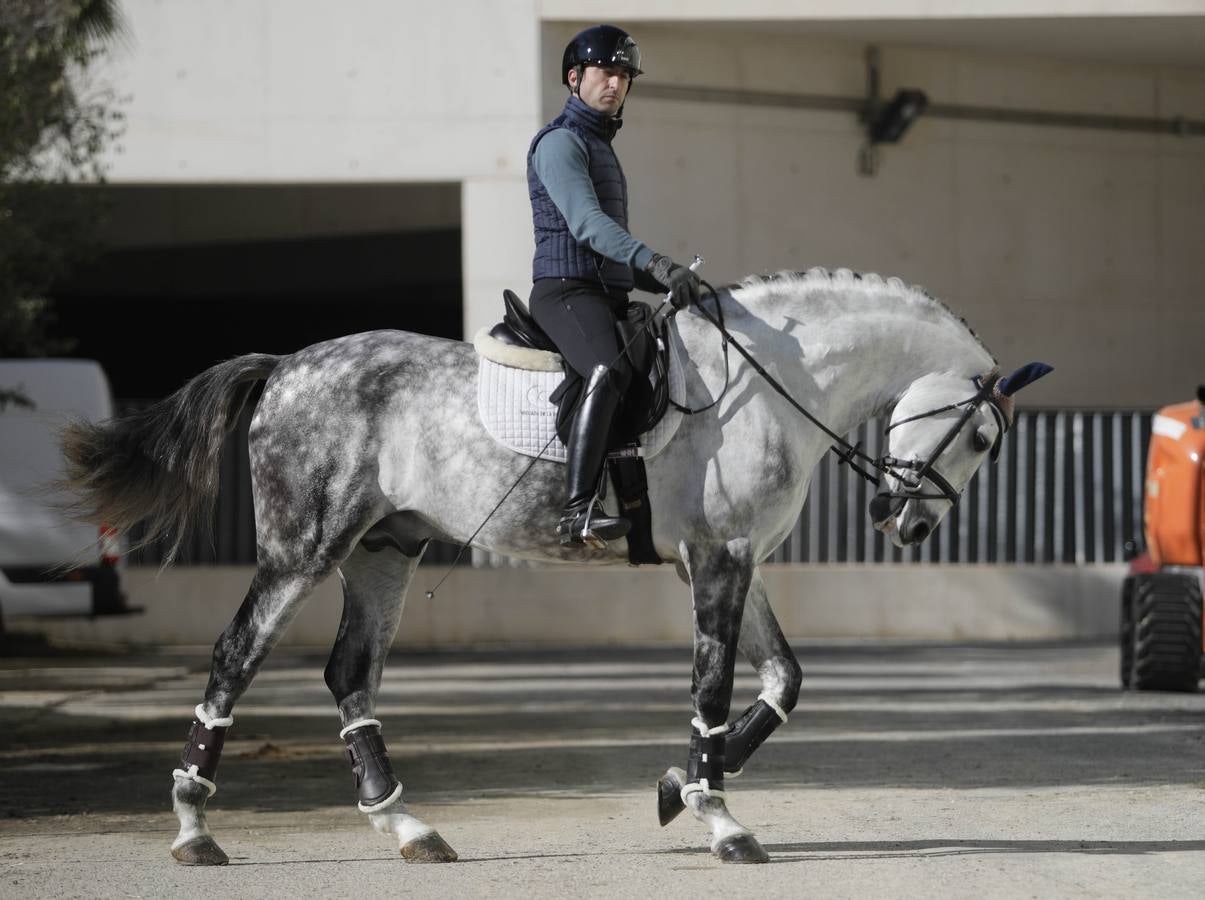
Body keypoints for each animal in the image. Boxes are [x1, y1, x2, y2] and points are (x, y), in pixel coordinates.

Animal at [60, 266, 1050, 866]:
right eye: (983, 437)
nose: (906, 523)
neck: (779, 378)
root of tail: (286, 364)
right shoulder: (718, 560)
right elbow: (714, 686)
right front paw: (717, 814)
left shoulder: (732, 560)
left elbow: (783, 680)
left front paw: (675, 788)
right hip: (303, 549)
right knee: (236, 658)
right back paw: (194, 828)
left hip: (382, 552)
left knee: (350, 675)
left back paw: (406, 825)